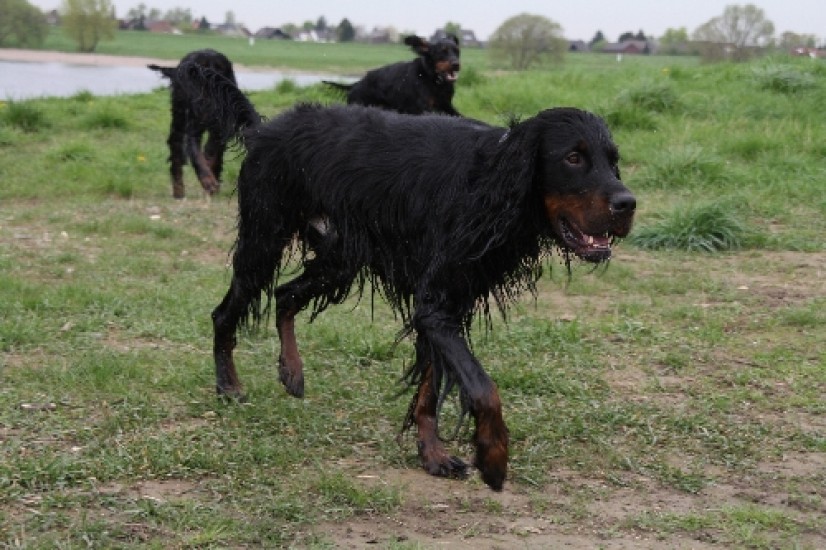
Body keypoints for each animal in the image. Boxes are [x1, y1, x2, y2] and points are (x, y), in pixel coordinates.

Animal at [149, 49, 257, 198]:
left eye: (219, 68)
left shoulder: (220, 130)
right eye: (197, 69)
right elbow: (196, 156)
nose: (210, 78)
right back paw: (178, 190)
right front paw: (208, 181)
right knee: (175, 148)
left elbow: (213, 152)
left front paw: (212, 176)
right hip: (179, 116)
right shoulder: (193, 131)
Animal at [178, 61, 635, 491]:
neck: (492, 180)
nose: (628, 204)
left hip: (339, 257)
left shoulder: (448, 305)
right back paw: (228, 387)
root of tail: (264, 129)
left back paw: (291, 371)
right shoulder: (434, 303)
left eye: (613, 160)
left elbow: (430, 390)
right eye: (572, 157)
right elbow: (483, 388)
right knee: (226, 313)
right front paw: (492, 456)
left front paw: (432, 455)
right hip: (263, 241)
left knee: (286, 295)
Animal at [324, 34, 462, 116]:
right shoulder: (423, 108)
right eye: (442, 52)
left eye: (457, 51)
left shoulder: (446, 105)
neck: (433, 79)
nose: (456, 64)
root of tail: (356, 84)